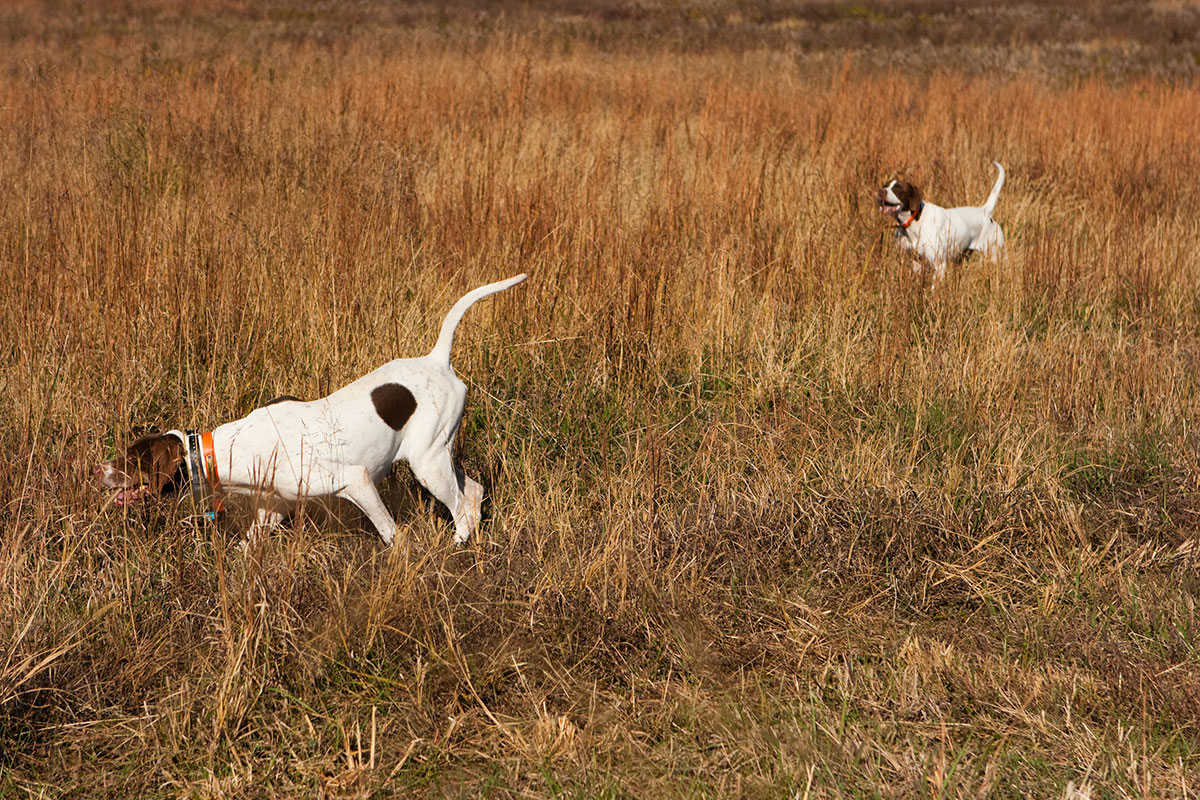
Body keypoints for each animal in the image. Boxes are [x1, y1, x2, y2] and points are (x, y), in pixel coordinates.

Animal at [93, 273, 525, 544]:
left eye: (132, 459)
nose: (99, 470)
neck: (227, 449)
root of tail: (438, 359)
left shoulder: (356, 481)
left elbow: (390, 534)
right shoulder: (274, 506)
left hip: (427, 462)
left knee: (461, 507)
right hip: (437, 456)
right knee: (473, 492)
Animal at [878, 160, 1008, 281]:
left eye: (898, 189)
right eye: (885, 186)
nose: (881, 191)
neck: (914, 222)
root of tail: (985, 211)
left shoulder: (939, 264)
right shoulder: (916, 262)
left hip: (996, 255)